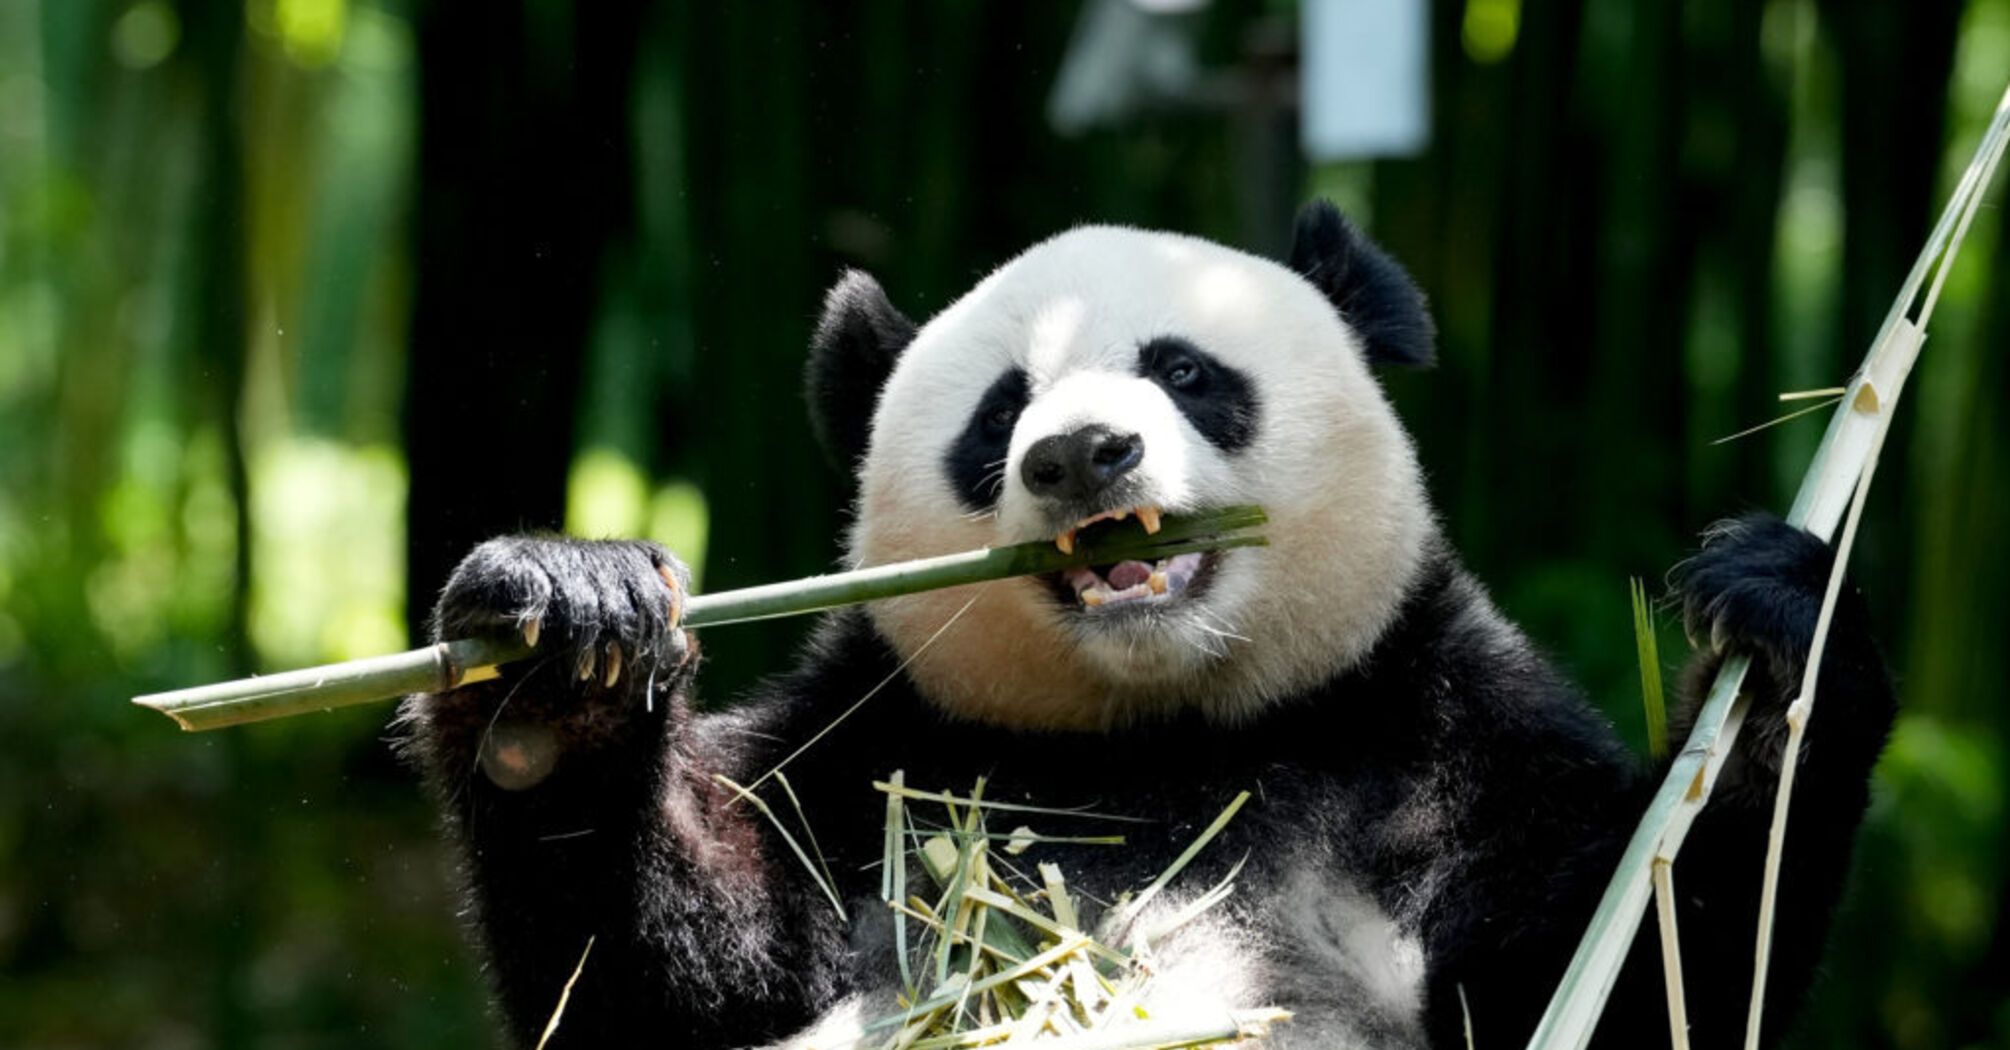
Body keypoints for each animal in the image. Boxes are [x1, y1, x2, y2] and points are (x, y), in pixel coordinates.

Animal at [399, 201, 1896, 1049]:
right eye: (1001, 413)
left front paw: (1781, 628)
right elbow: (675, 986)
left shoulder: (1445, 728)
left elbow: (1621, 973)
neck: (1157, 731)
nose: (1082, 454)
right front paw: (560, 664)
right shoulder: (863, 741)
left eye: (1185, 370)